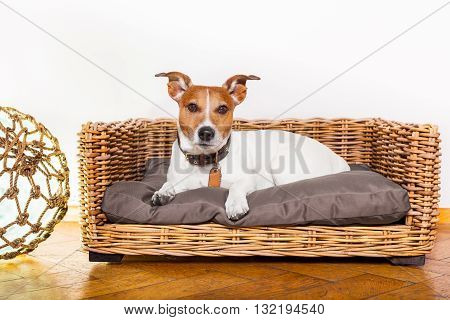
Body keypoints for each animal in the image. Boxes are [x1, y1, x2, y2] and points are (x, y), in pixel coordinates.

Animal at [151, 72, 348, 220]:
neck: (205, 160)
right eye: (192, 107)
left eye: (222, 109)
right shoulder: (182, 181)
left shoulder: (248, 179)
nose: (206, 132)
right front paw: (163, 192)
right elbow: (169, 183)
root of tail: (338, 160)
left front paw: (235, 204)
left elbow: (236, 186)